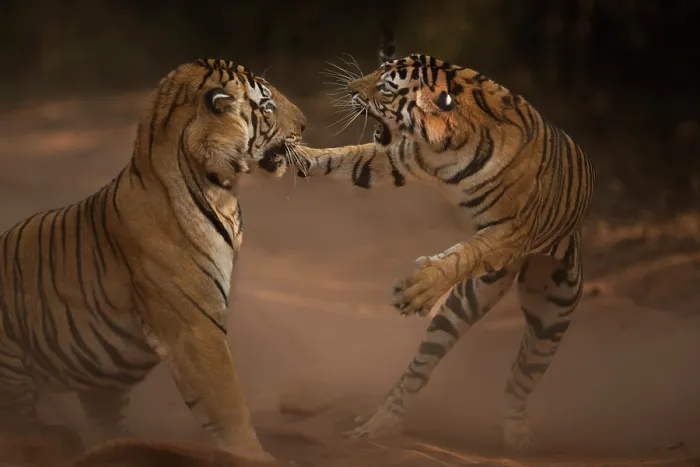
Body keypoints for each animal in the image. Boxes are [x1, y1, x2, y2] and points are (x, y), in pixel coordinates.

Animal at [0, 58, 306, 461]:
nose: (305, 125)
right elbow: (228, 405)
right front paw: (254, 456)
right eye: (267, 105)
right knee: (19, 428)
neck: (222, 190)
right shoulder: (195, 327)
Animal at [287, 44, 596, 450]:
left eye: (385, 87)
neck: (445, 145)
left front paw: (418, 288)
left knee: (521, 376)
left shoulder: (510, 229)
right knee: (419, 370)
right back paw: (378, 424)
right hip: (459, 312)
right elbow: (342, 156)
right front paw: (291, 154)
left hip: (551, 317)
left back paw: (517, 435)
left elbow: (466, 254)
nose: (350, 89)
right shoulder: (397, 159)